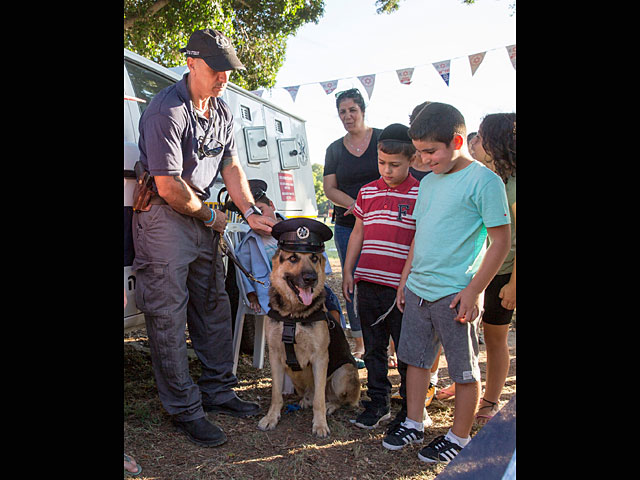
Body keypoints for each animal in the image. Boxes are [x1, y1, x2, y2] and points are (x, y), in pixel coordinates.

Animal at [258, 219, 360, 436]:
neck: (294, 315)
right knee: (311, 393)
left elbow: (319, 400)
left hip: (342, 373)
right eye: (293, 257)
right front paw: (271, 417)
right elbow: (276, 394)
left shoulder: (320, 358)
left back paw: (331, 405)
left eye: (314, 257)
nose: (310, 278)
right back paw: (305, 399)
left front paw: (320, 424)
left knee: (336, 398)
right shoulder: (276, 357)